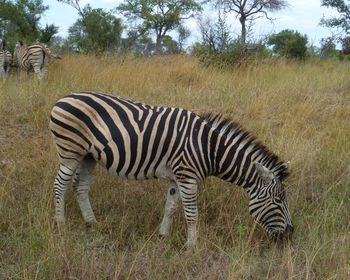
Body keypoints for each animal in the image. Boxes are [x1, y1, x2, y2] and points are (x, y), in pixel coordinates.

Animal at [50, 92, 294, 245]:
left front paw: (162, 236)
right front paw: (192, 247)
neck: (209, 148)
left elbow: (170, 208)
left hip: (88, 156)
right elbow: (192, 214)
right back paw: (61, 226)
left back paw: (92, 223)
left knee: (80, 188)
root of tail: (63, 98)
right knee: (60, 186)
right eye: (278, 200)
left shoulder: (177, 179)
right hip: (70, 152)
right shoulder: (188, 178)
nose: (290, 235)